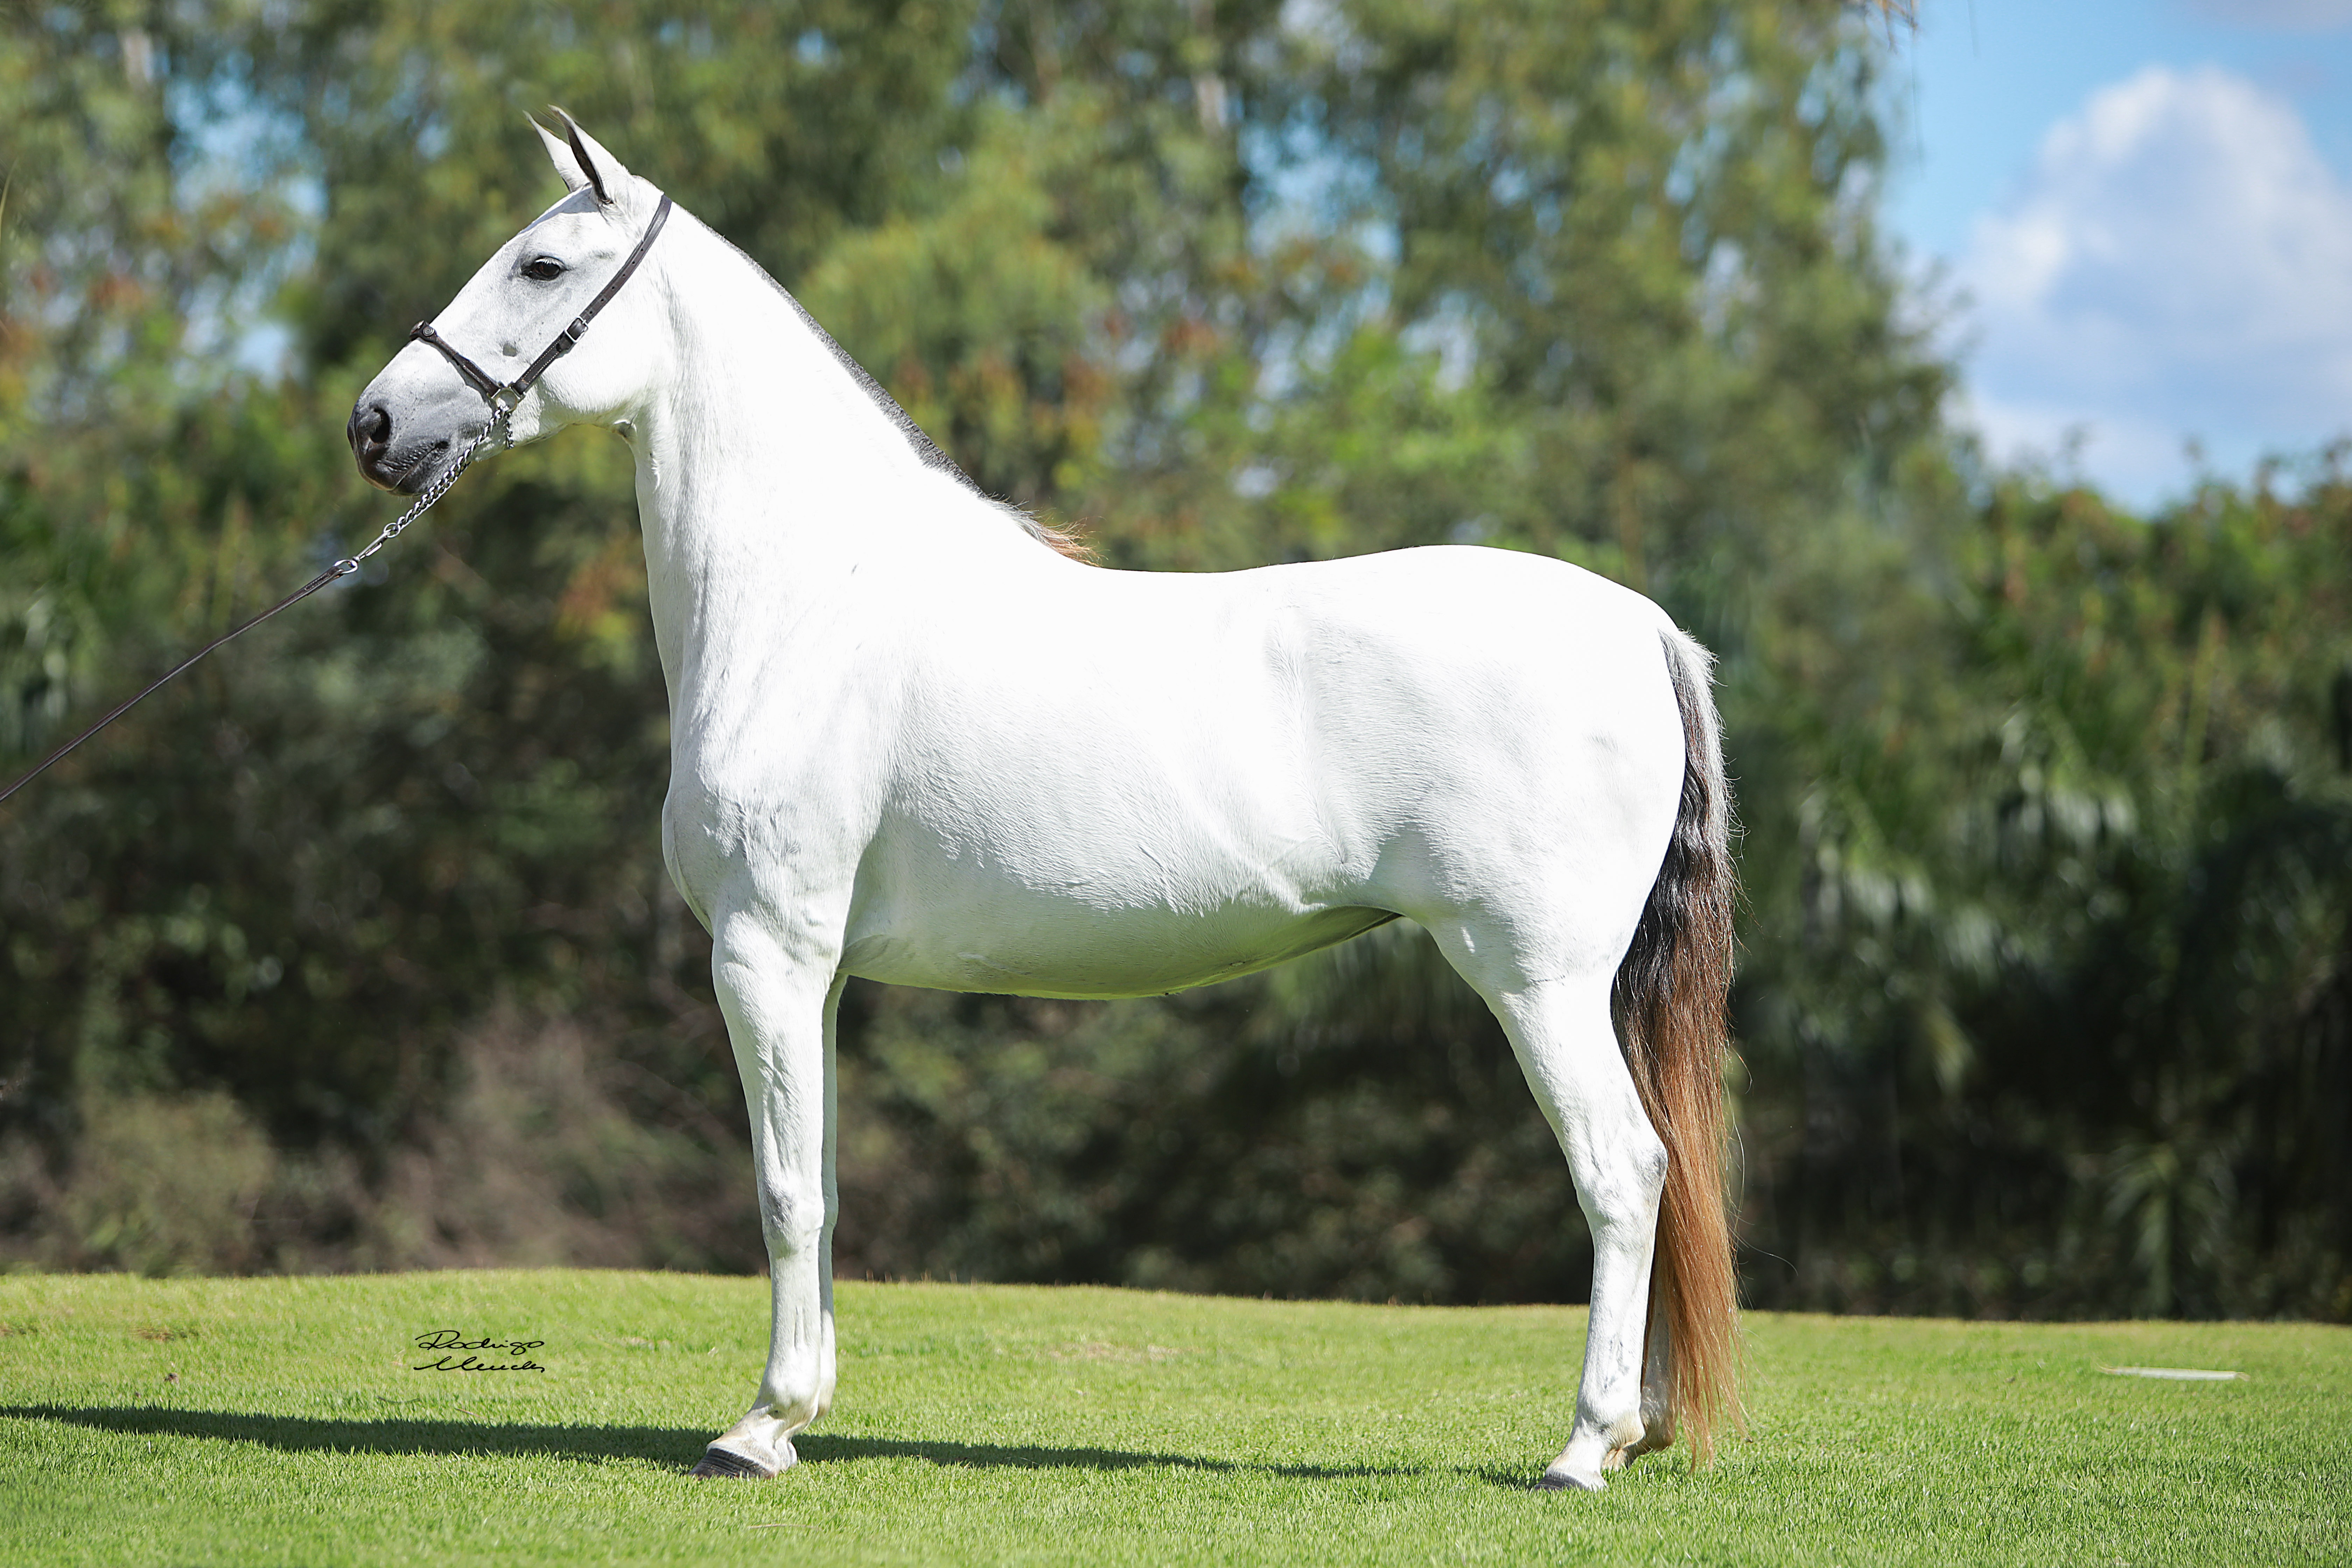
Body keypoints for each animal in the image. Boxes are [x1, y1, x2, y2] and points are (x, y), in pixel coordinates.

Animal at [348, 115, 1742, 1492]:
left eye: (540, 267)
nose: (374, 423)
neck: (806, 598)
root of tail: (1640, 626)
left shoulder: (762, 949)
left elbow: (782, 1192)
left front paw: (757, 1428)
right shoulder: (820, 972)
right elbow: (823, 1185)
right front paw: (801, 1410)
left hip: (1533, 977)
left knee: (1622, 1173)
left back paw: (1582, 1447)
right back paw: (1630, 1427)